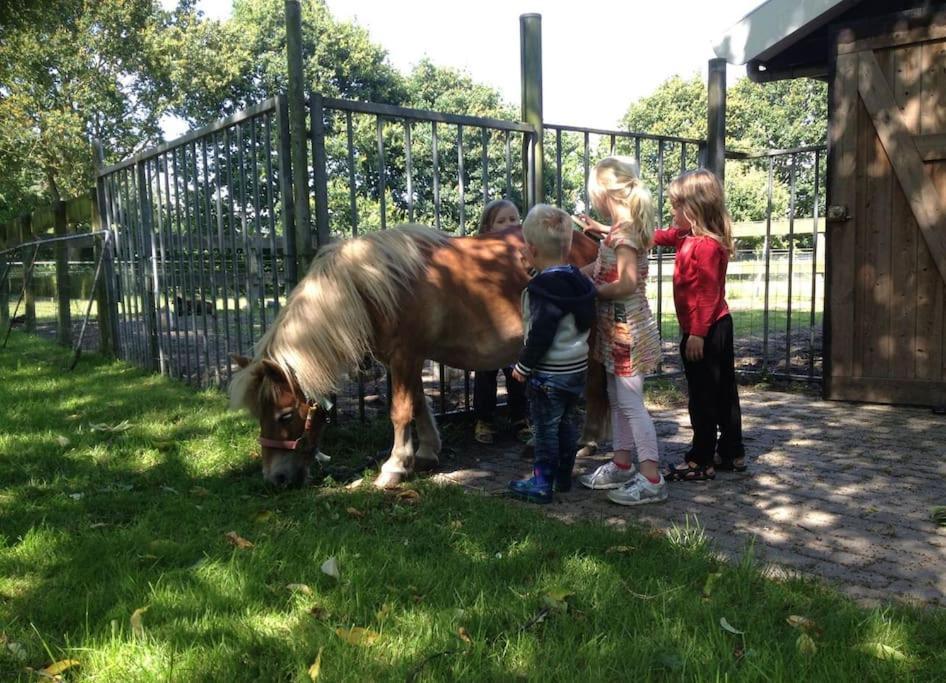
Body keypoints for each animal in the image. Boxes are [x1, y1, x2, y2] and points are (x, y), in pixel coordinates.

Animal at [232, 227, 608, 488]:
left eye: (284, 415)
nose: (275, 479)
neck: (370, 286)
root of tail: (589, 242)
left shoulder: (404, 356)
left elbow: (400, 411)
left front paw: (395, 466)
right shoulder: (404, 359)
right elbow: (419, 403)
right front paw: (426, 453)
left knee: (595, 389)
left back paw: (587, 442)